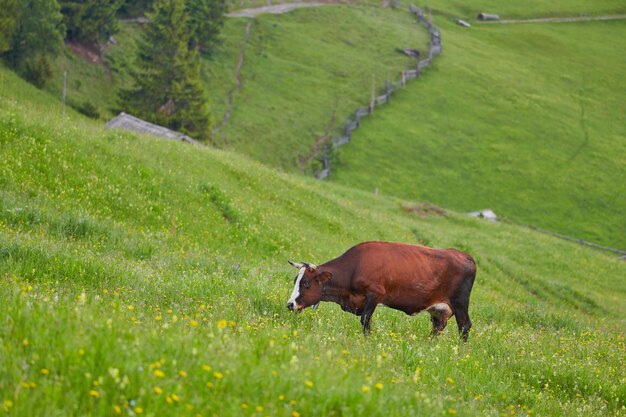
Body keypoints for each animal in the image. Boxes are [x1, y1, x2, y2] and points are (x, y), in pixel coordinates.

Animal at [286, 239, 476, 340]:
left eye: (306, 283)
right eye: (296, 280)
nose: (290, 304)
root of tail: (465, 255)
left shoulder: (375, 294)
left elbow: (365, 319)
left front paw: (367, 339)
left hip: (460, 302)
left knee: (465, 325)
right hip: (439, 309)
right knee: (438, 326)